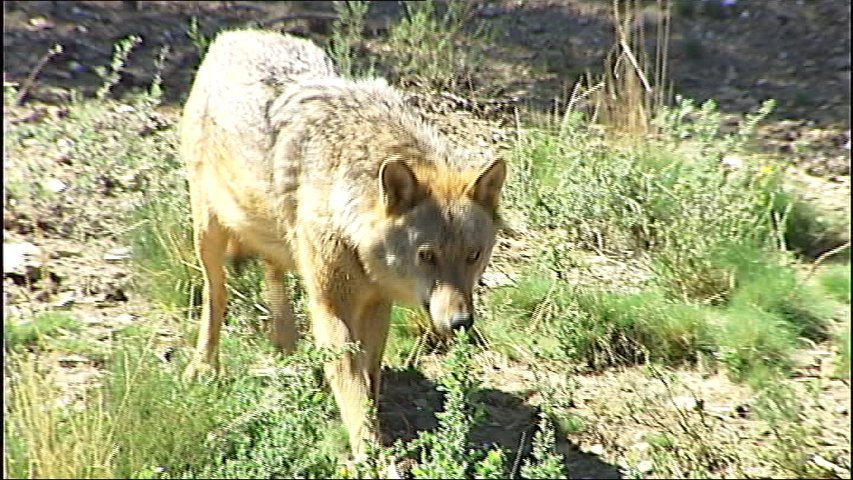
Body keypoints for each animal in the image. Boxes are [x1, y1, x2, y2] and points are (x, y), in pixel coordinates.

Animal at [177, 30, 502, 458]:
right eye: (426, 256)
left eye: (473, 255)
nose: (461, 323)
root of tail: (236, 35)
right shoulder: (332, 308)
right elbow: (353, 392)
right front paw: (370, 456)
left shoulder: (377, 303)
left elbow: (369, 379)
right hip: (209, 234)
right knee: (216, 296)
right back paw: (204, 366)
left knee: (273, 273)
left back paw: (286, 349)